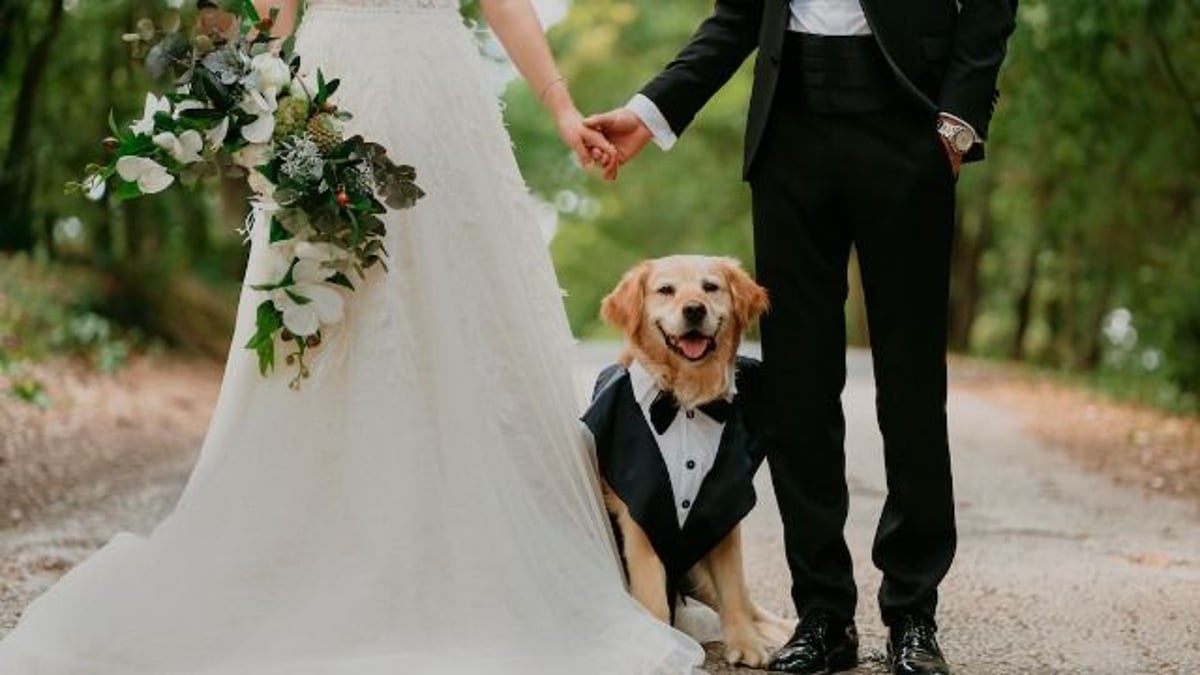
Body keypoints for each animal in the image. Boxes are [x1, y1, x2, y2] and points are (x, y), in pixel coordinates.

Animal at [595, 254, 792, 662]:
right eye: (666, 290)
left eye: (710, 287)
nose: (694, 309)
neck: (686, 400)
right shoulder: (639, 522)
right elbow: (654, 599)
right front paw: (666, 652)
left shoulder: (723, 514)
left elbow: (733, 590)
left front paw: (746, 645)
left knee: (748, 603)